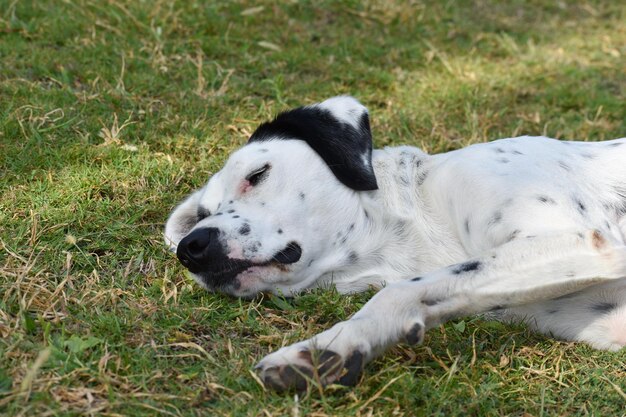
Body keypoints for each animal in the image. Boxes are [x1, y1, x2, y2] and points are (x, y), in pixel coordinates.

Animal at [163, 96, 620, 390]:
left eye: (257, 174)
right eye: (202, 214)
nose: (191, 247)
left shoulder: (580, 239)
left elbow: (400, 292)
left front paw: (324, 347)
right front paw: (328, 352)